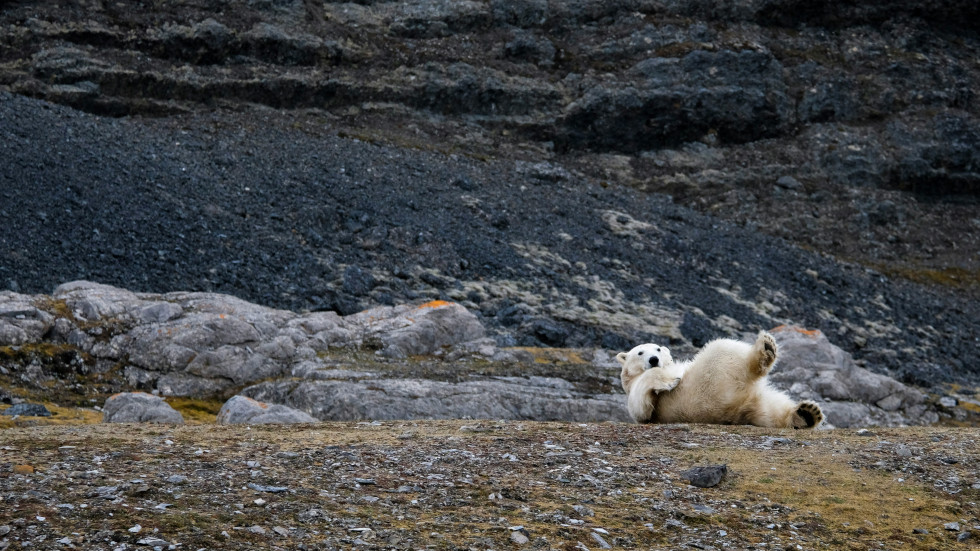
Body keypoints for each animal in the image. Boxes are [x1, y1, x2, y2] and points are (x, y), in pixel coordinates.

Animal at [616, 332, 824, 432]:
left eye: (658, 349)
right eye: (640, 352)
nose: (653, 359)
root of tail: (734, 409)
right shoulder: (640, 399)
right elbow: (641, 406)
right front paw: (669, 381)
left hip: (750, 402)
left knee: (771, 410)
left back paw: (806, 414)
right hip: (707, 385)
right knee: (722, 347)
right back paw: (765, 349)